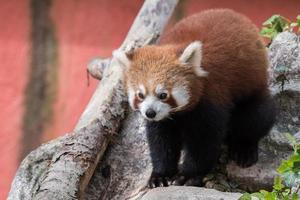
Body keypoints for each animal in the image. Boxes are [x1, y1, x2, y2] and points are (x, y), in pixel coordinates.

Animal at [113, 9, 276, 188]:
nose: (150, 112)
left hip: (252, 88)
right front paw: (160, 175)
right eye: (140, 95)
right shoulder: (163, 121)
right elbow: (161, 142)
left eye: (163, 94)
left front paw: (188, 176)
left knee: (256, 117)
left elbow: (203, 143)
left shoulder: (210, 100)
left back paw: (244, 148)